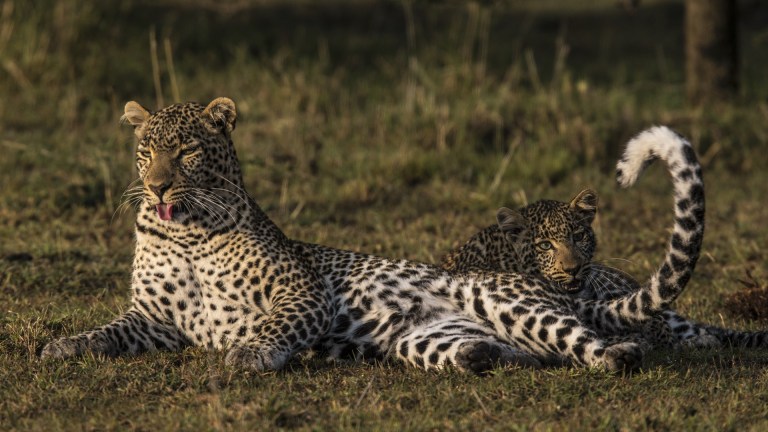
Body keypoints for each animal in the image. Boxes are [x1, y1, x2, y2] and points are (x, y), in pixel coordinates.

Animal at [40, 98, 704, 374]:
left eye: (186, 153)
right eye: (146, 150)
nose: (155, 188)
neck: (185, 234)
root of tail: (562, 286)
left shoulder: (301, 291)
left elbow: (275, 326)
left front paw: (249, 353)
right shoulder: (154, 318)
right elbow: (106, 332)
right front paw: (62, 346)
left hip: (511, 301)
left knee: (594, 344)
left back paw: (620, 354)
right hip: (426, 340)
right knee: (515, 353)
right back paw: (479, 357)